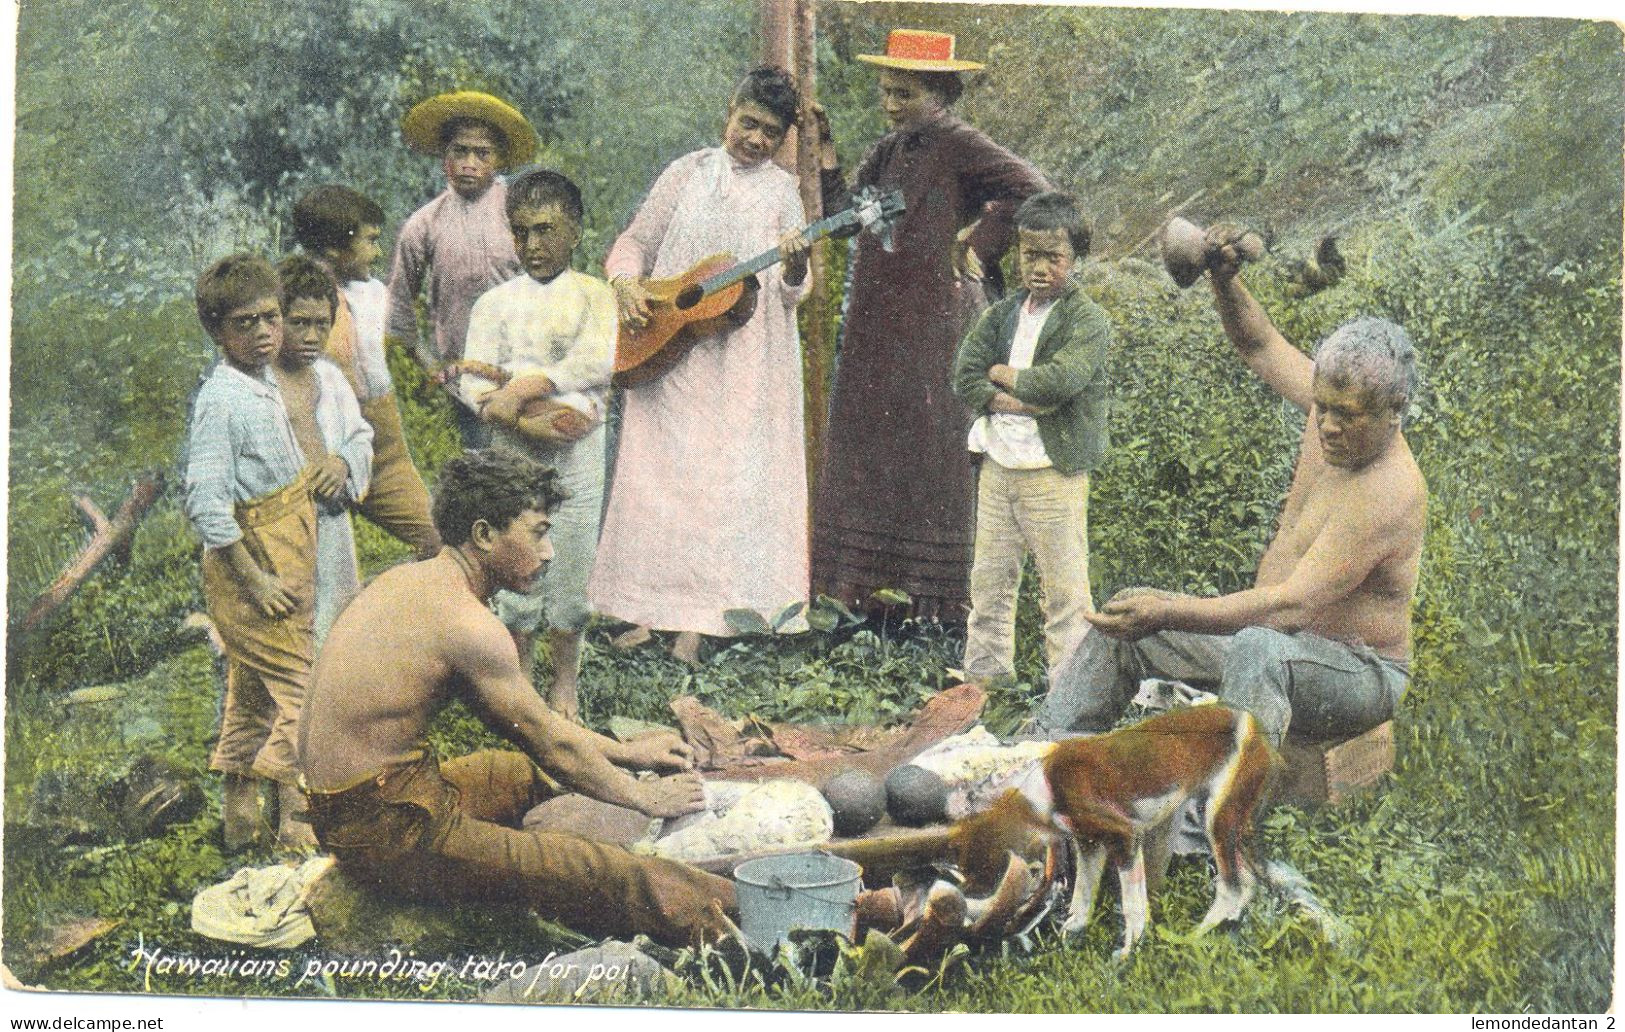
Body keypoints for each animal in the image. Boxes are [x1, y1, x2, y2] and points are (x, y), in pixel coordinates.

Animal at [949, 711, 1280, 962]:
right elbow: (1082, 893)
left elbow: (1133, 904)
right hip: (1224, 819)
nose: (969, 922)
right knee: (1248, 882)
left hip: (1219, 816)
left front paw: (1131, 950)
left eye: (985, 876)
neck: (1042, 789)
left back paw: (1192, 936)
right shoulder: (1089, 844)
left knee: (1232, 887)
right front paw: (1072, 931)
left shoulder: (1124, 837)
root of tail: (1253, 724)